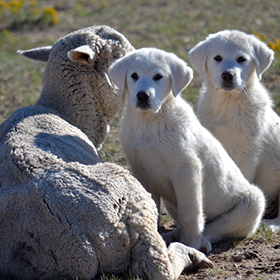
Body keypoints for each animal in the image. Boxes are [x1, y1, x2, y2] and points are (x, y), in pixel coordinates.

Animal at [108, 48, 266, 254]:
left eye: (158, 77)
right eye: (134, 76)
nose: (143, 96)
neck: (150, 122)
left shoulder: (186, 169)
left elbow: (189, 213)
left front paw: (189, 245)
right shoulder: (141, 172)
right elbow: (151, 208)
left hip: (253, 202)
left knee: (216, 228)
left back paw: (200, 242)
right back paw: (171, 236)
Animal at [188, 30, 280, 232]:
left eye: (241, 59)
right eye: (217, 58)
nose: (228, 75)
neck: (228, 106)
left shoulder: (246, 153)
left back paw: (270, 224)